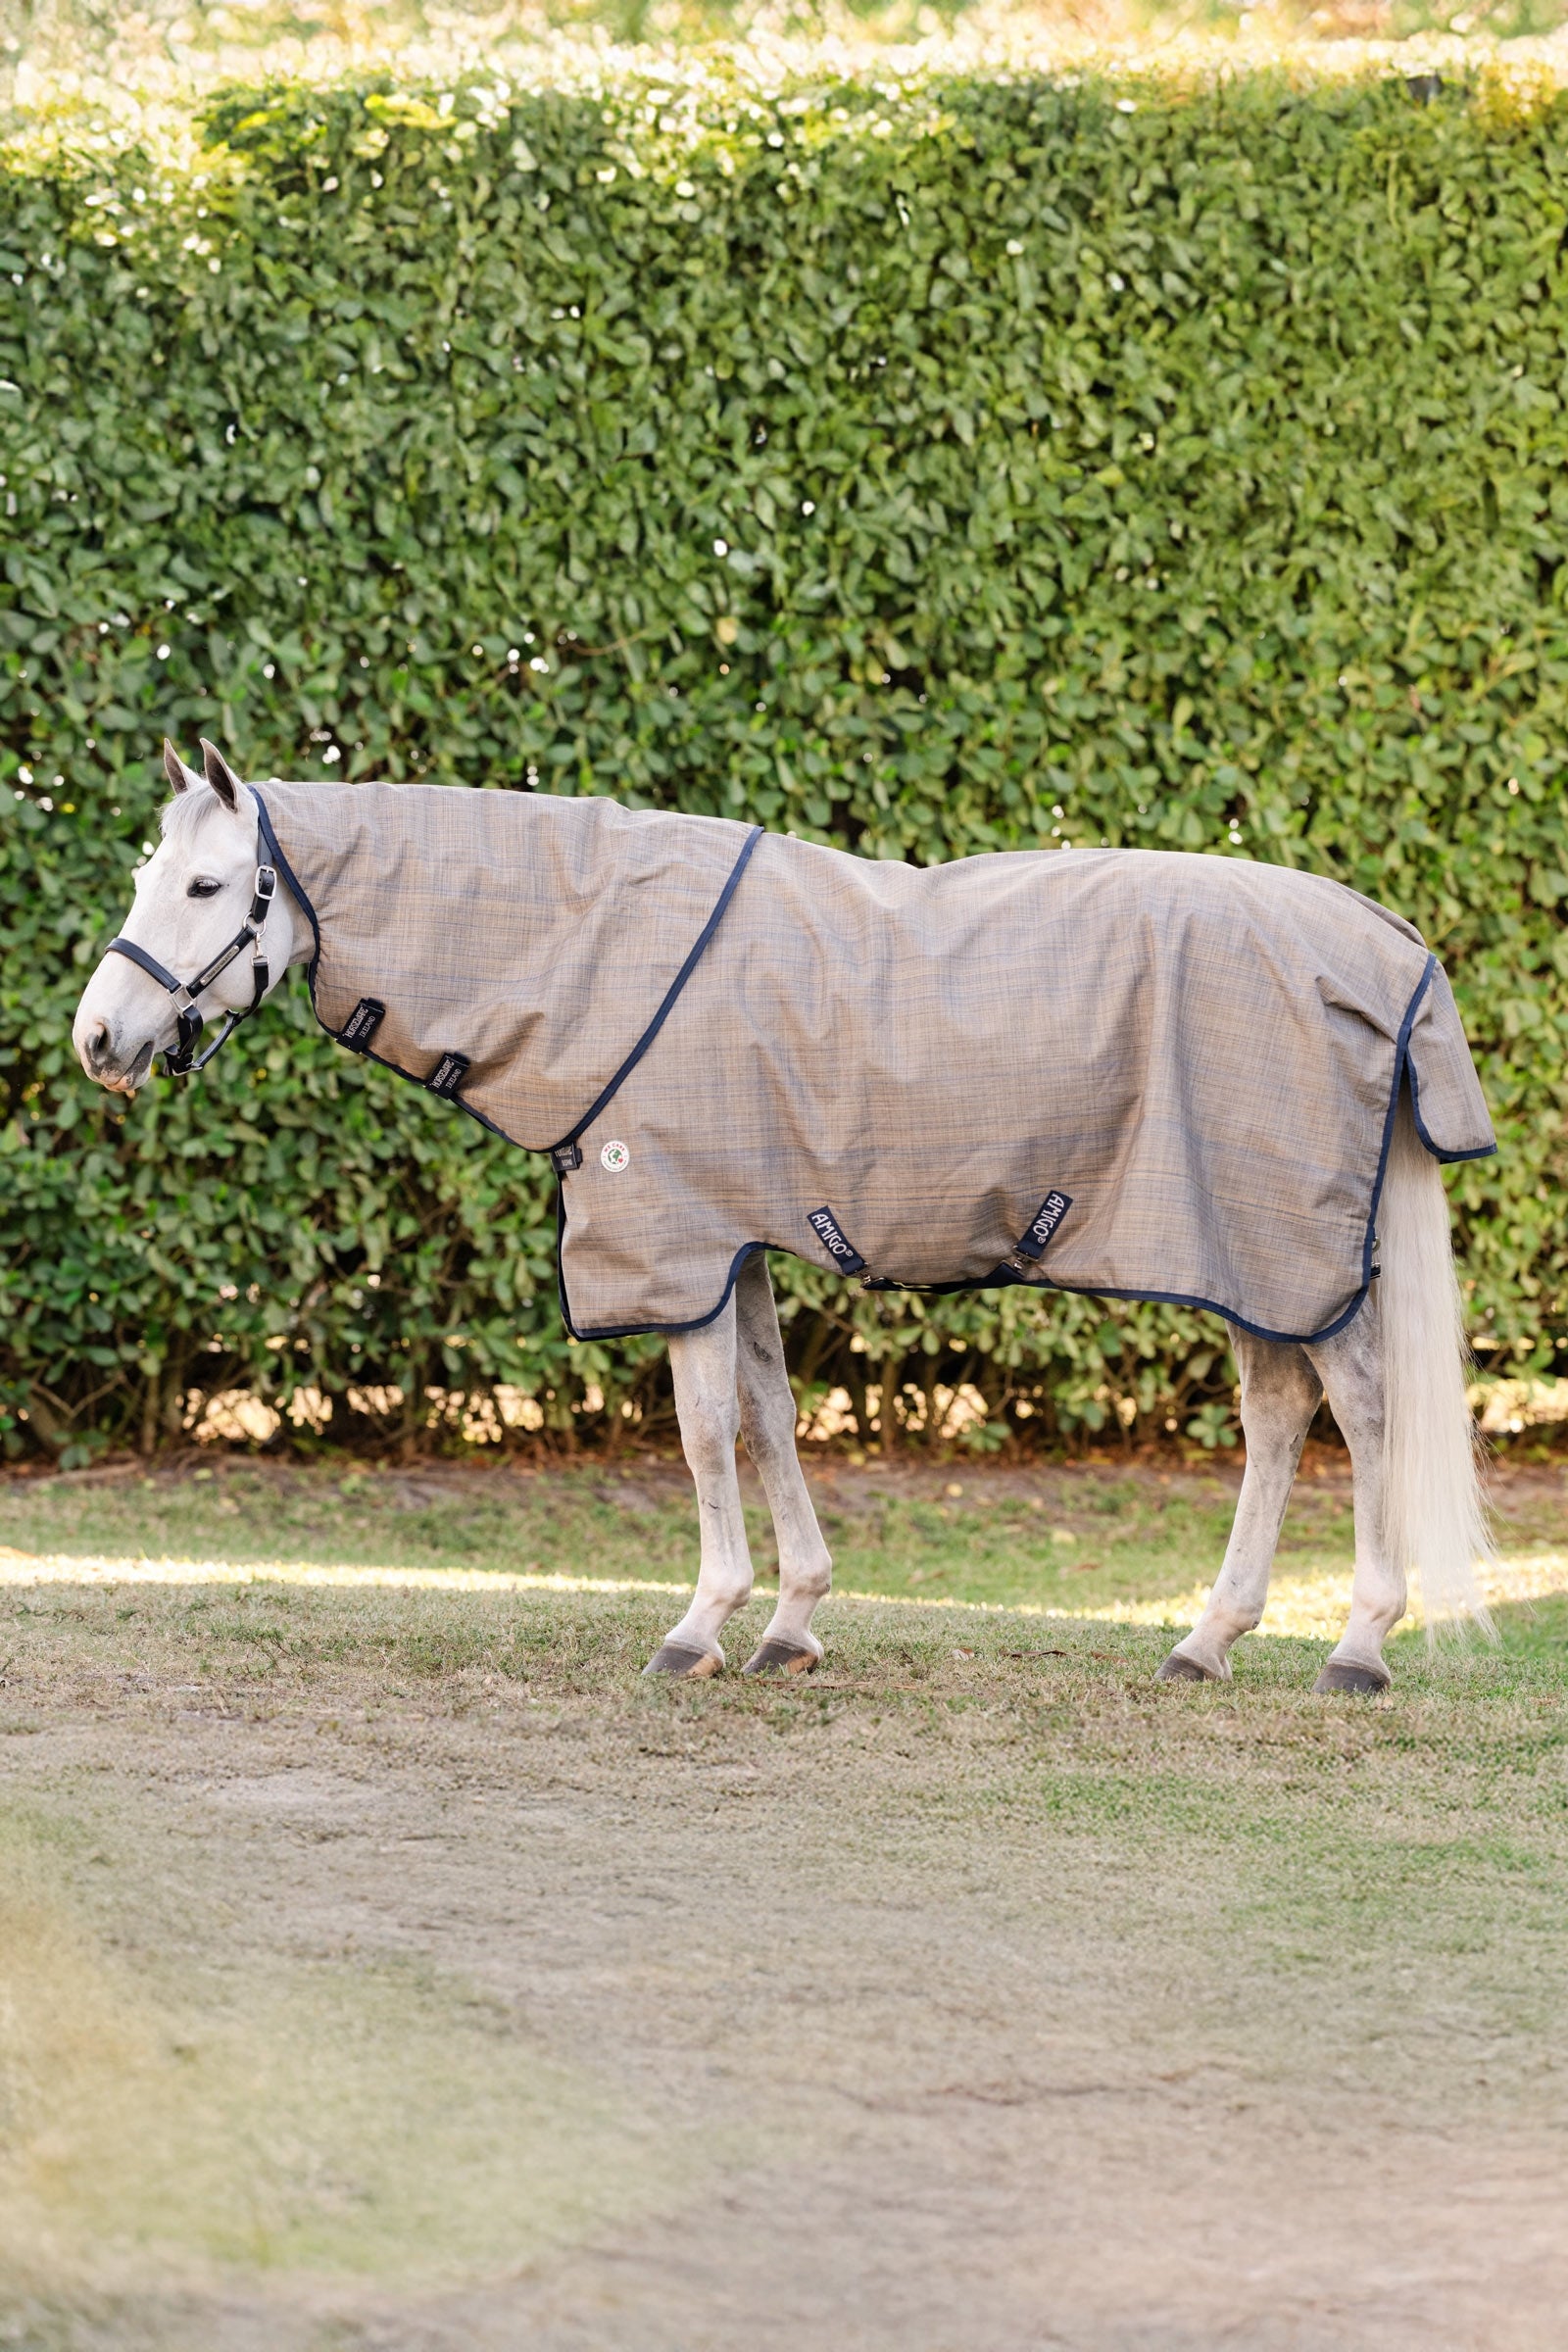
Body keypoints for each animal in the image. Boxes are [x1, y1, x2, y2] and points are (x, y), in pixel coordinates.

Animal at [72, 740, 1492, 1691]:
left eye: (205, 889)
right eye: (147, 872)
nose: (96, 1040)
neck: (599, 953)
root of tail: (1385, 947)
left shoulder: (677, 1239)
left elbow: (705, 1435)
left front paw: (699, 1626)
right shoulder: (733, 1241)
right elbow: (764, 1412)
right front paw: (792, 1621)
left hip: (1279, 1249)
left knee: (1360, 1413)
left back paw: (1359, 1646)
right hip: (1244, 1253)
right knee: (1279, 1415)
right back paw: (1207, 1640)